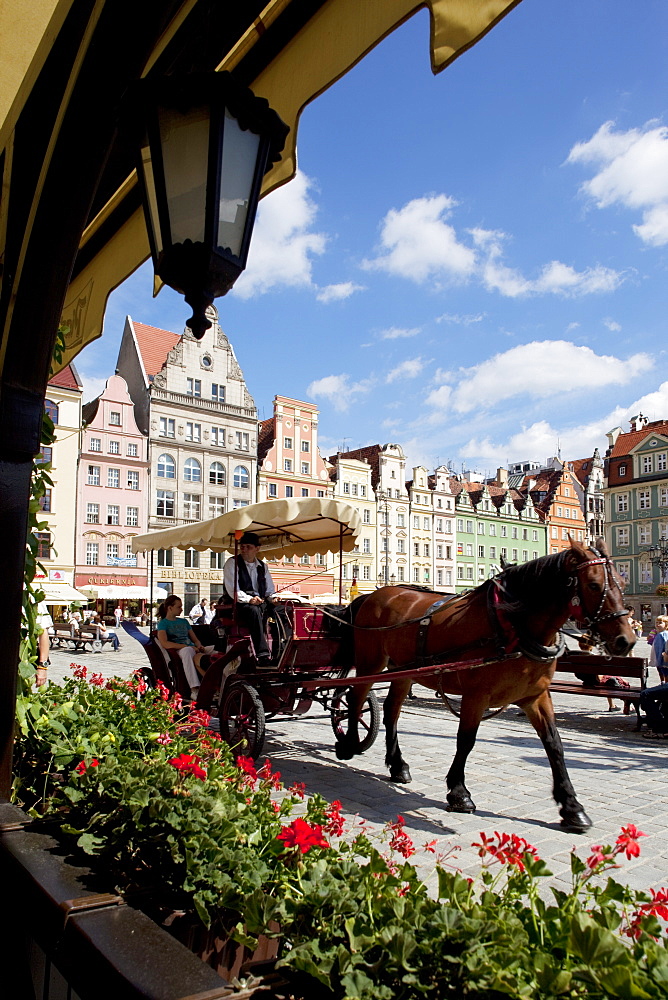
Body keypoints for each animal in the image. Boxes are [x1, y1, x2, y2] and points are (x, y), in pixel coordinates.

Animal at [340, 536, 636, 832]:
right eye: (593, 585)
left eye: (622, 584)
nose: (626, 641)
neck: (512, 625)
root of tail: (375, 594)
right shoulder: (476, 696)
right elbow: (466, 740)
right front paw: (459, 792)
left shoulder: (536, 696)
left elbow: (554, 745)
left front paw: (572, 806)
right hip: (371, 664)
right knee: (356, 699)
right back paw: (349, 744)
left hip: (403, 671)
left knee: (391, 712)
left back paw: (397, 765)